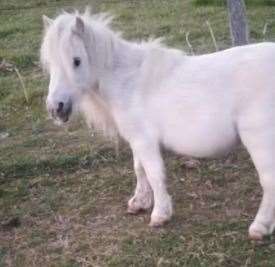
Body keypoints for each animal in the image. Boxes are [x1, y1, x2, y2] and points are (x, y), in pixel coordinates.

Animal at [40, 9, 275, 241]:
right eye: (50, 63)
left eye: (77, 61)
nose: (56, 108)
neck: (127, 82)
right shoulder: (137, 139)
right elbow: (139, 169)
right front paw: (139, 202)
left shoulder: (145, 141)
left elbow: (154, 174)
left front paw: (160, 214)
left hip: (259, 140)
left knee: (269, 180)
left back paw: (260, 227)